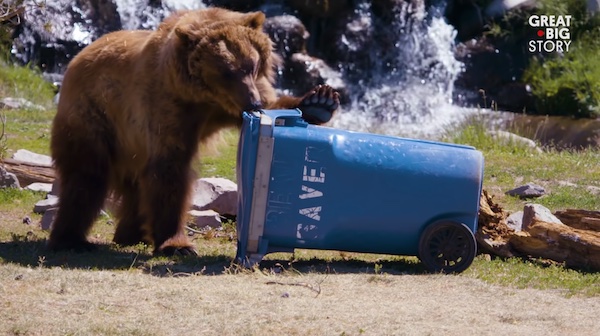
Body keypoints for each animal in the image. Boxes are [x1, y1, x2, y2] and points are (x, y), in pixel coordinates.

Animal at [49, 7, 340, 255]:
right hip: (95, 116)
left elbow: (274, 105)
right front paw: (177, 244)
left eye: (252, 64)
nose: (252, 103)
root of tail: (79, 56)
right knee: (86, 176)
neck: (206, 98)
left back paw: (131, 234)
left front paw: (320, 102)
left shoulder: (238, 99)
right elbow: (171, 169)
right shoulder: (170, 106)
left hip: (131, 141)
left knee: (133, 183)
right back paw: (71, 239)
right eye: (226, 72)